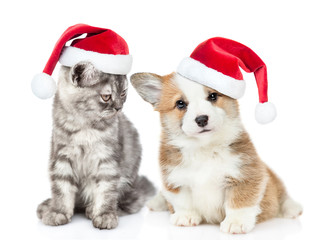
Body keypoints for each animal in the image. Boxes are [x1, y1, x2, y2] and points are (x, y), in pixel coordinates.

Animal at [36, 61, 155, 229]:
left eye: (123, 94)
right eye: (106, 97)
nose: (119, 108)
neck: (85, 124)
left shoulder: (107, 159)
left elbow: (106, 191)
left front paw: (104, 215)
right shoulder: (62, 156)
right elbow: (61, 188)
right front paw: (57, 211)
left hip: (126, 183)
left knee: (127, 203)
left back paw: (93, 209)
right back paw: (48, 206)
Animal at [130, 73, 302, 234]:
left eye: (213, 96)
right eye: (180, 103)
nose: (201, 119)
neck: (204, 148)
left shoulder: (245, 175)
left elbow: (240, 201)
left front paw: (236, 222)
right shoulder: (174, 178)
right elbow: (182, 200)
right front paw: (186, 216)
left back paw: (292, 208)